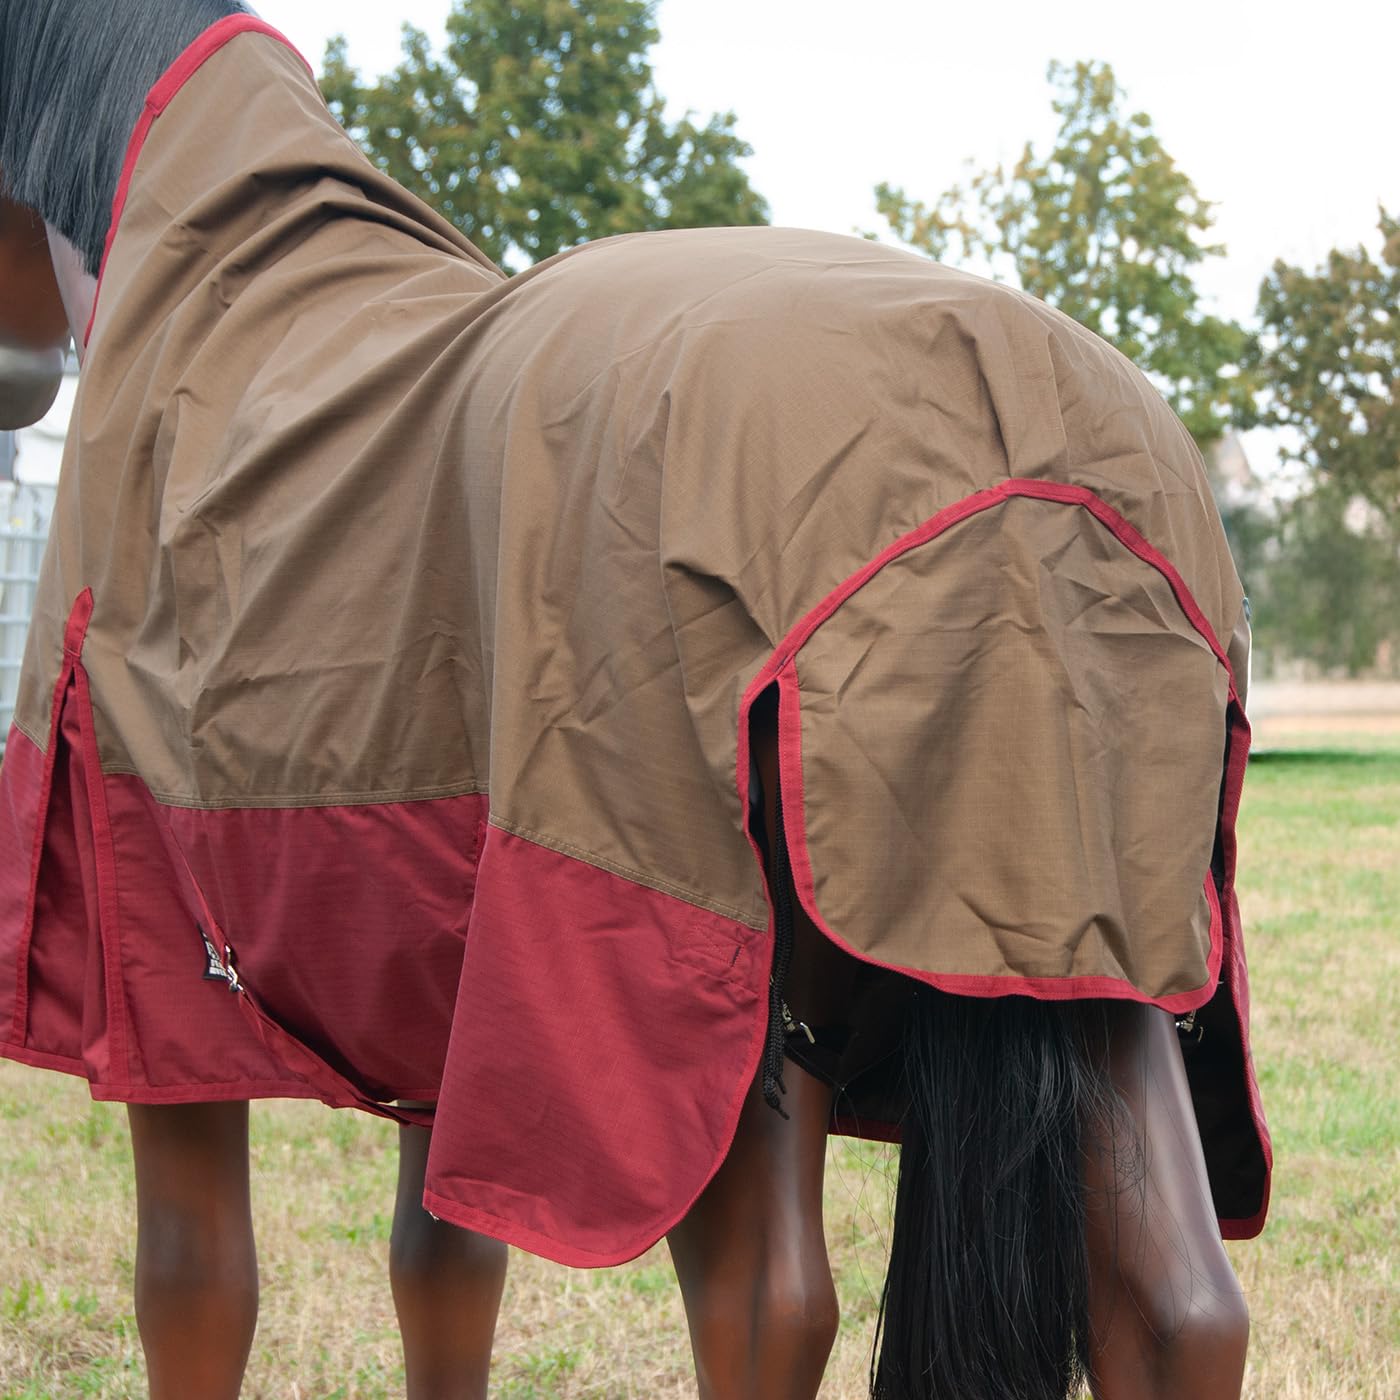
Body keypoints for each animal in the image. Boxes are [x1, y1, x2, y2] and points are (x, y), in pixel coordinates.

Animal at [0, 3, 1271, 1397]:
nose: (18, 381)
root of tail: (1018, 459)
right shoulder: (452, 1024)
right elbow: (441, 1277)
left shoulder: (164, 1014)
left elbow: (195, 1289)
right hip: (1106, 968)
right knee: (1180, 1307)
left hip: (718, 996)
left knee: (765, 1305)